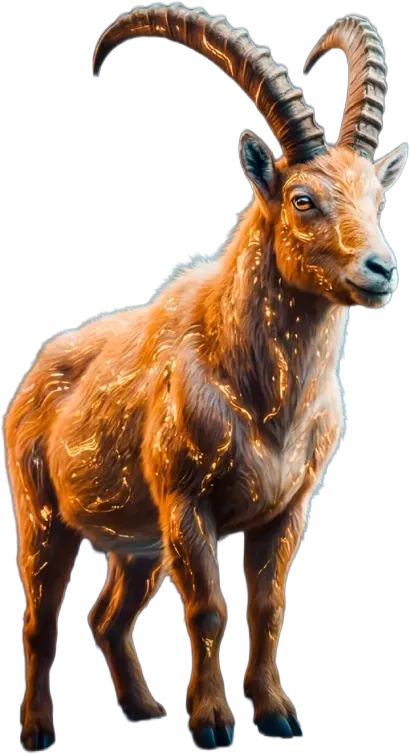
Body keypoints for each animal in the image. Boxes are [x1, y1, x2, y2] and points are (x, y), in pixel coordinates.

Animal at [5, 5, 407, 752]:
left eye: (378, 198)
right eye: (303, 198)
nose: (381, 269)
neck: (265, 397)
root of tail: (32, 376)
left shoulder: (287, 509)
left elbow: (270, 607)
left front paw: (276, 715)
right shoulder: (187, 504)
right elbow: (210, 610)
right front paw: (214, 724)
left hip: (138, 547)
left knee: (106, 616)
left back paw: (141, 710)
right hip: (43, 513)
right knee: (41, 620)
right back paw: (38, 731)